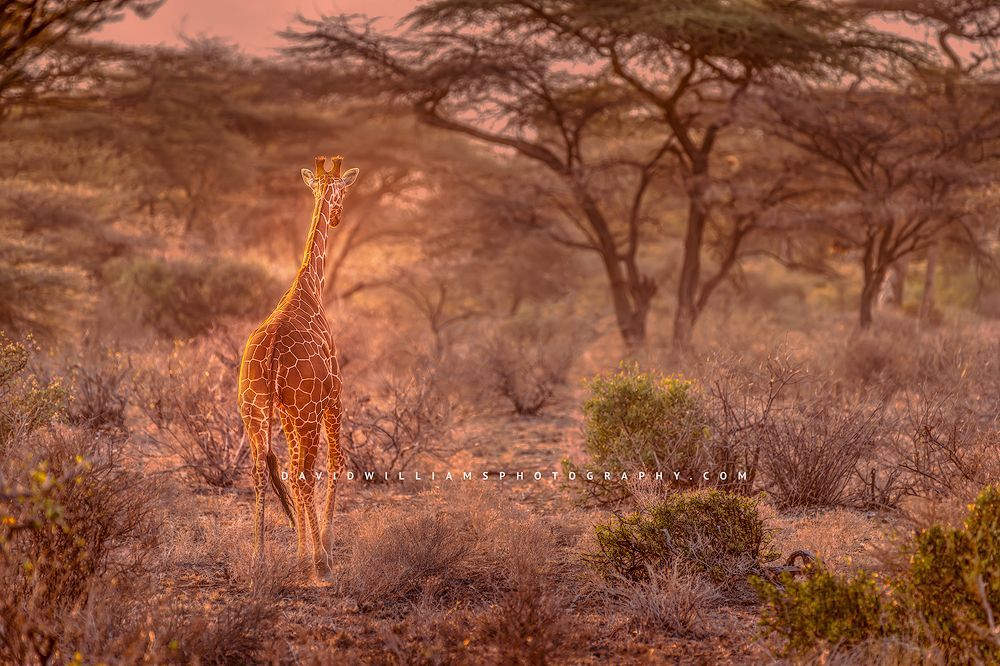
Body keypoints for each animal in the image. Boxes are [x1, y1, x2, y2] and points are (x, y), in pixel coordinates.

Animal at [238, 155, 359, 575]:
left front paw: (300, 551)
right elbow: (336, 463)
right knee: (306, 473)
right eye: (343, 191)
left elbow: (289, 471)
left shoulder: (288, 412)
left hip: (255, 410)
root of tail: (272, 354)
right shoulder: (333, 396)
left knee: (263, 470)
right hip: (307, 412)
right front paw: (323, 547)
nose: (336, 217)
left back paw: (258, 559)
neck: (310, 285)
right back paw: (321, 563)